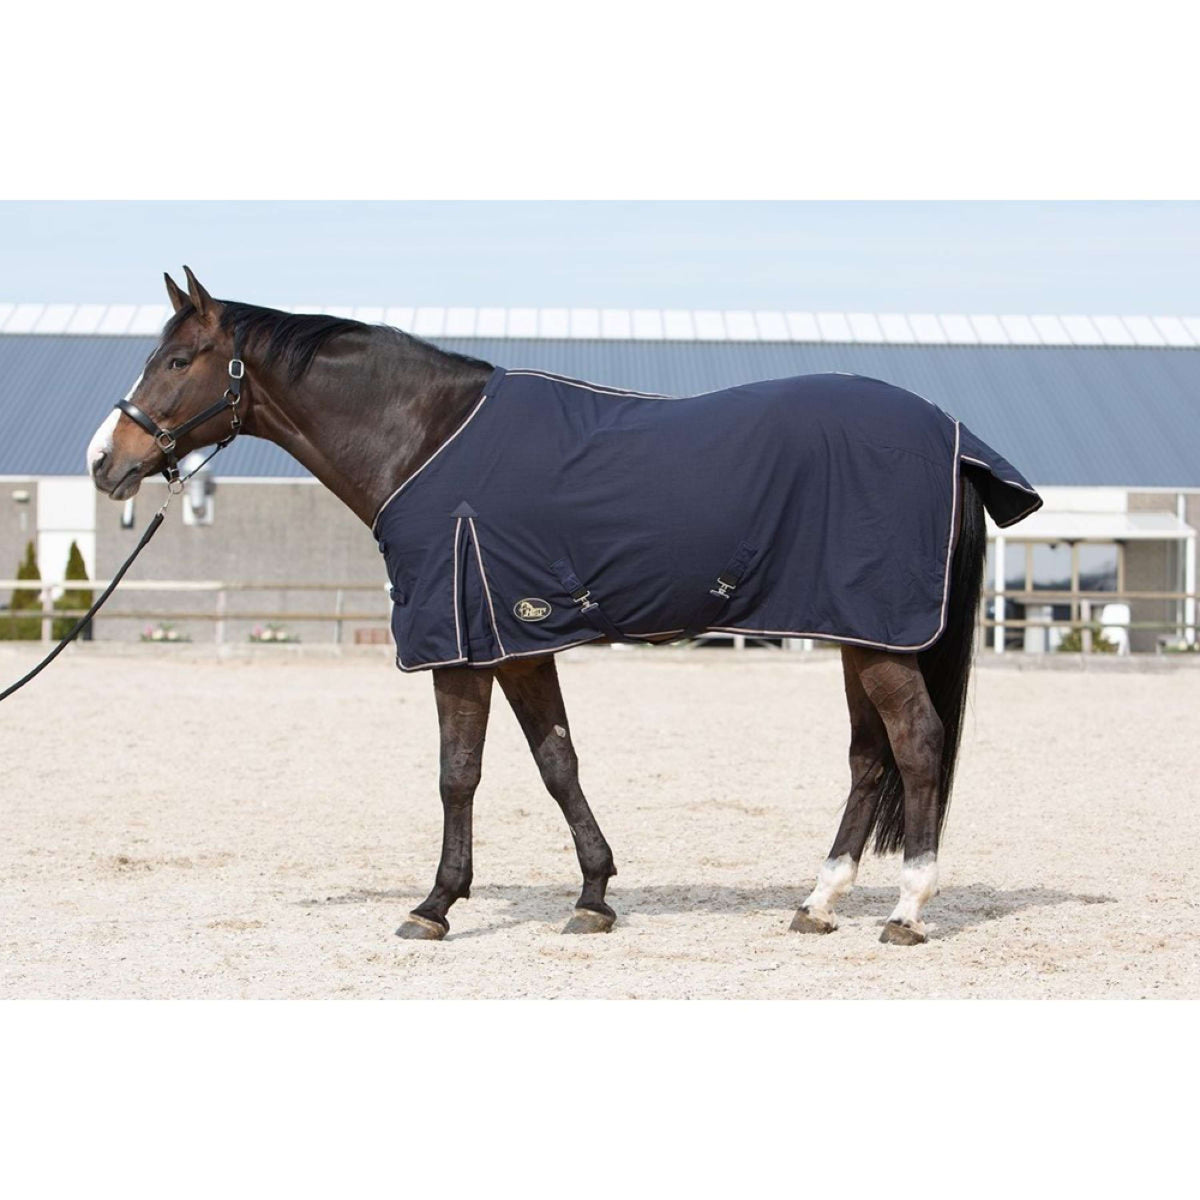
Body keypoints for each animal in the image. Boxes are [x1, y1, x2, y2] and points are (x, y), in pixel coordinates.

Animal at [87, 268, 1041, 946]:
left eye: (177, 361)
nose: (105, 461)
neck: (425, 439)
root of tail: (952, 438)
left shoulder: (459, 644)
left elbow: (458, 773)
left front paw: (434, 904)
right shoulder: (518, 640)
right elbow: (557, 763)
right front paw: (592, 895)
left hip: (880, 637)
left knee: (916, 745)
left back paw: (906, 911)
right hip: (853, 630)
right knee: (868, 759)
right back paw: (818, 902)